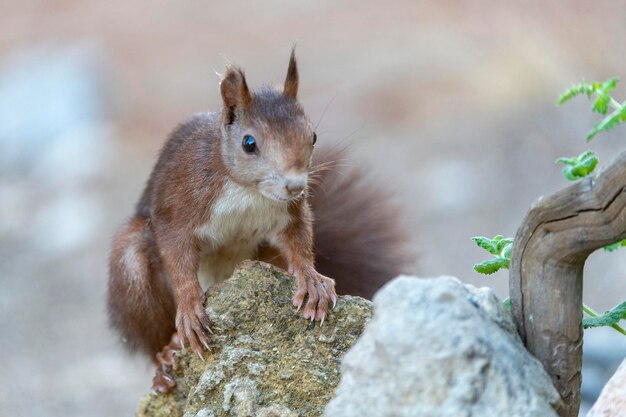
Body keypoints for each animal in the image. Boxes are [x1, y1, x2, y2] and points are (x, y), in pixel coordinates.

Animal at [107, 50, 410, 392]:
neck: (247, 191)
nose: (296, 186)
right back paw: (165, 358)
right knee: (151, 332)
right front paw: (189, 305)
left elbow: (299, 241)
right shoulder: (177, 205)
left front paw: (312, 279)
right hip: (132, 271)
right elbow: (176, 252)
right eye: (248, 143)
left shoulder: (290, 212)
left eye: (313, 135)